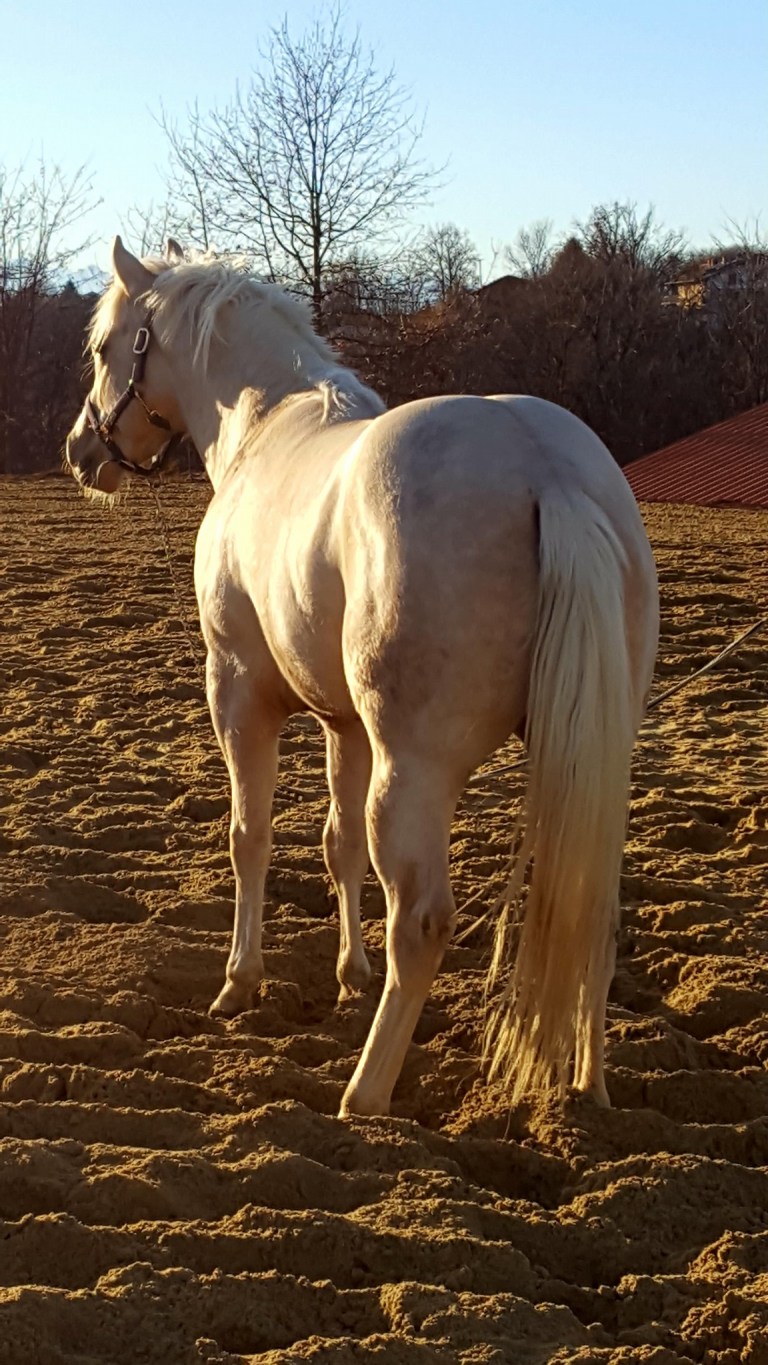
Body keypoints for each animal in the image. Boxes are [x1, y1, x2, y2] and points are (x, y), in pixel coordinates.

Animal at [65, 236, 659, 1118]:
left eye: (107, 347)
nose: (81, 451)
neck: (264, 425)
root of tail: (544, 465)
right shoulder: (343, 723)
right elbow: (335, 843)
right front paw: (349, 974)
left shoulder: (238, 695)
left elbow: (250, 836)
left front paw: (240, 983)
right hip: (590, 760)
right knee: (592, 903)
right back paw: (586, 1087)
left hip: (412, 771)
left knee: (421, 920)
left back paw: (365, 1093)